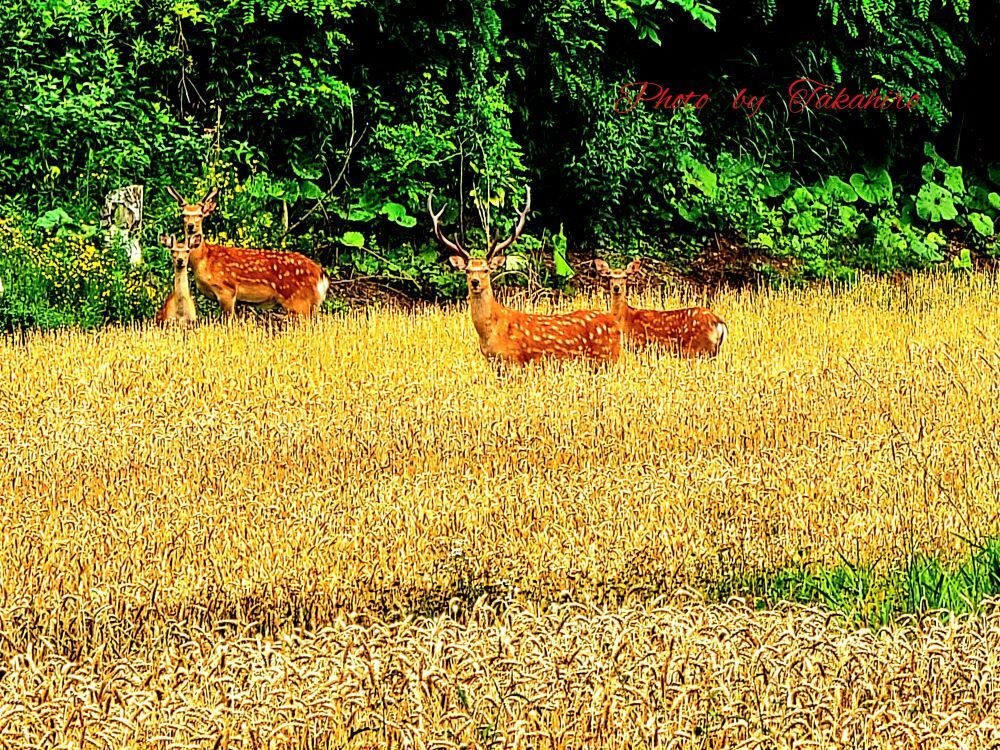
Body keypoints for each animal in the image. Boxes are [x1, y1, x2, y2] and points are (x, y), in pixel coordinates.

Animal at [166, 188, 330, 320]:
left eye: (200, 215)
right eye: (183, 215)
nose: (191, 226)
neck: (203, 260)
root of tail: (321, 274)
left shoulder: (227, 290)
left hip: (299, 302)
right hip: (311, 305)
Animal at [428, 187, 620, 366]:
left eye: (486, 270)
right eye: (467, 270)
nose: (475, 282)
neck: (491, 333)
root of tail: (616, 325)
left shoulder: (515, 360)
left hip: (606, 357)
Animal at [592, 260, 728, 360]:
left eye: (625, 277)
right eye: (609, 276)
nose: (616, 287)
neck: (625, 319)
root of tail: (719, 323)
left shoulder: (639, 345)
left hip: (697, 349)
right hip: (712, 351)